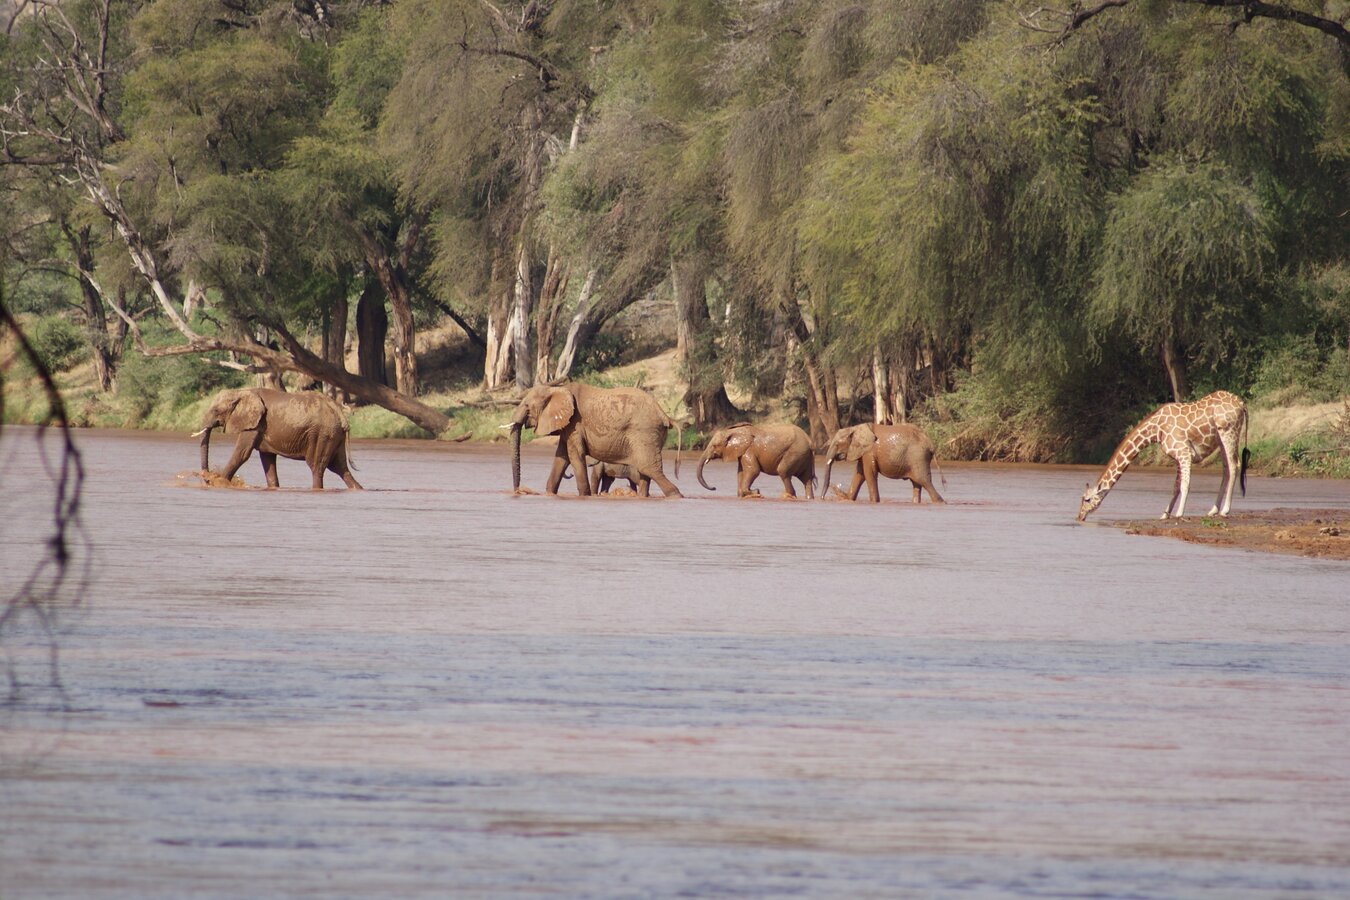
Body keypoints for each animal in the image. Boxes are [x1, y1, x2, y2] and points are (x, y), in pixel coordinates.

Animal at [195, 388, 362, 490]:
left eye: (216, 410)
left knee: (317, 467)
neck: (242, 392)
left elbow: (242, 453)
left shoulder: (254, 424)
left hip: (322, 435)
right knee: (340, 468)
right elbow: (267, 458)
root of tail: (340, 413)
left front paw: (218, 482)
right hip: (334, 435)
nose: (206, 477)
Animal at [508, 381, 682, 497]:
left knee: (649, 469)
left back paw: (676, 495)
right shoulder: (568, 427)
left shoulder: (575, 424)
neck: (558, 388)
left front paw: (585, 496)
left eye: (527, 407)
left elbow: (575, 455)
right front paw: (550, 494)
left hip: (645, 432)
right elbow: (561, 457)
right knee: (645, 471)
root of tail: (664, 415)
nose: (519, 491)